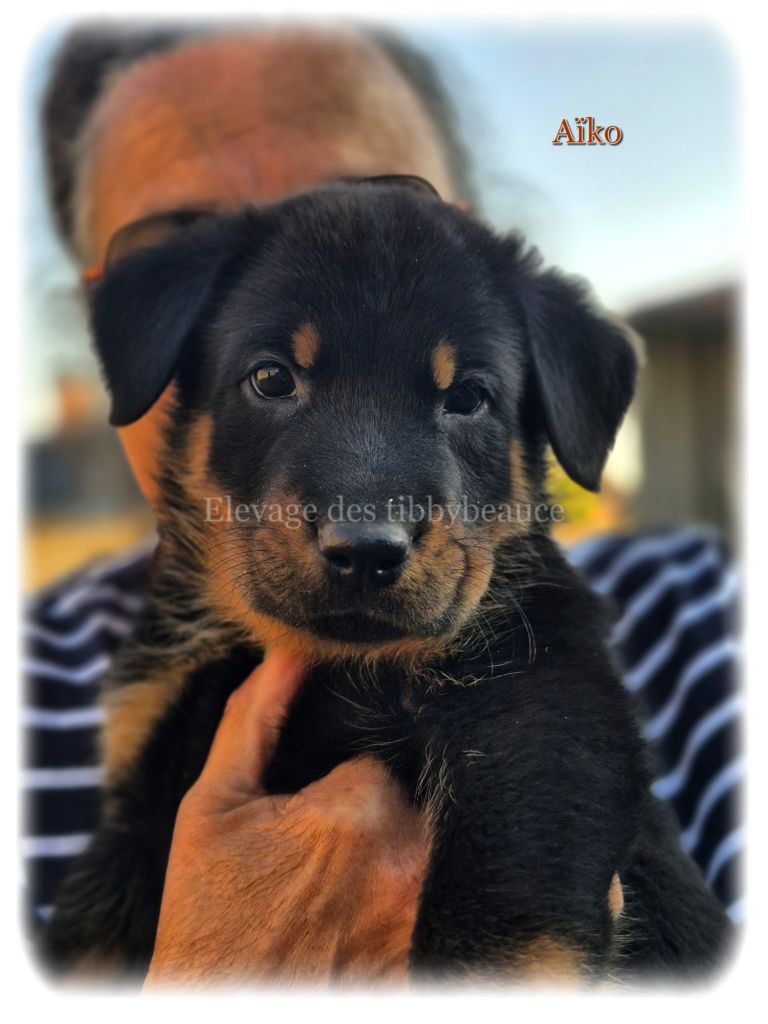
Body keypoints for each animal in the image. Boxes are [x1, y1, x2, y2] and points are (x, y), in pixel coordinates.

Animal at [40, 176, 731, 982]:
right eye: (271, 377)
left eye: (468, 397)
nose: (366, 549)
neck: (340, 661)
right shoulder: (138, 787)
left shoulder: (540, 717)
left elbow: (497, 949)